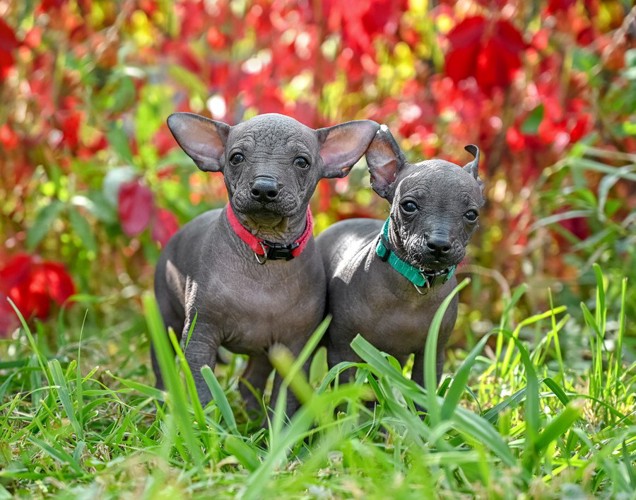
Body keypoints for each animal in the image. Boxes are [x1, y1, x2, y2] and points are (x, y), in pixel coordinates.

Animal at [155, 111, 378, 416]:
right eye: (236, 158)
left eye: (302, 162)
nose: (264, 188)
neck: (266, 250)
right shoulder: (200, 336)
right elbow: (202, 389)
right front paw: (207, 424)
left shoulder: (296, 347)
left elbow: (287, 396)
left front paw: (279, 427)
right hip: (165, 316)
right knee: (161, 365)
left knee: (250, 379)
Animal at [316, 127, 484, 388]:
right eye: (409, 206)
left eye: (471, 214)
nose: (439, 244)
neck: (414, 288)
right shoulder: (343, 352)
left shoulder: (432, 355)